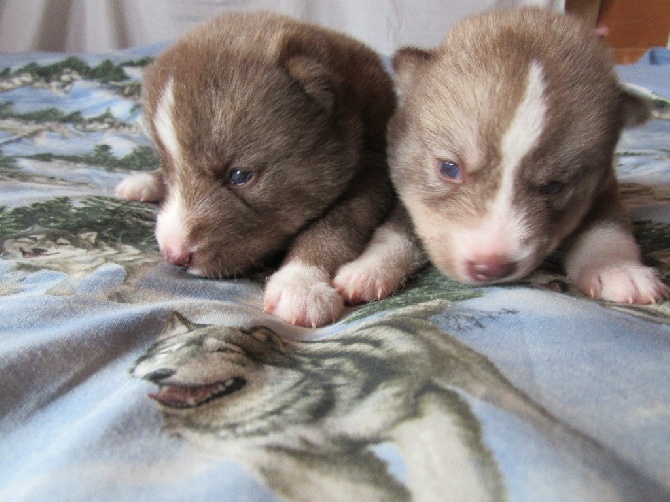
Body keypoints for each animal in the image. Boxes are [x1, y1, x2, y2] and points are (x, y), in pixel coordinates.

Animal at [344, 7, 668, 304]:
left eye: (555, 186)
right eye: (449, 168)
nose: (491, 267)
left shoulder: (603, 187)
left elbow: (608, 226)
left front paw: (619, 269)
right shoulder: (405, 192)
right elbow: (395, 229)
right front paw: (369, 269)